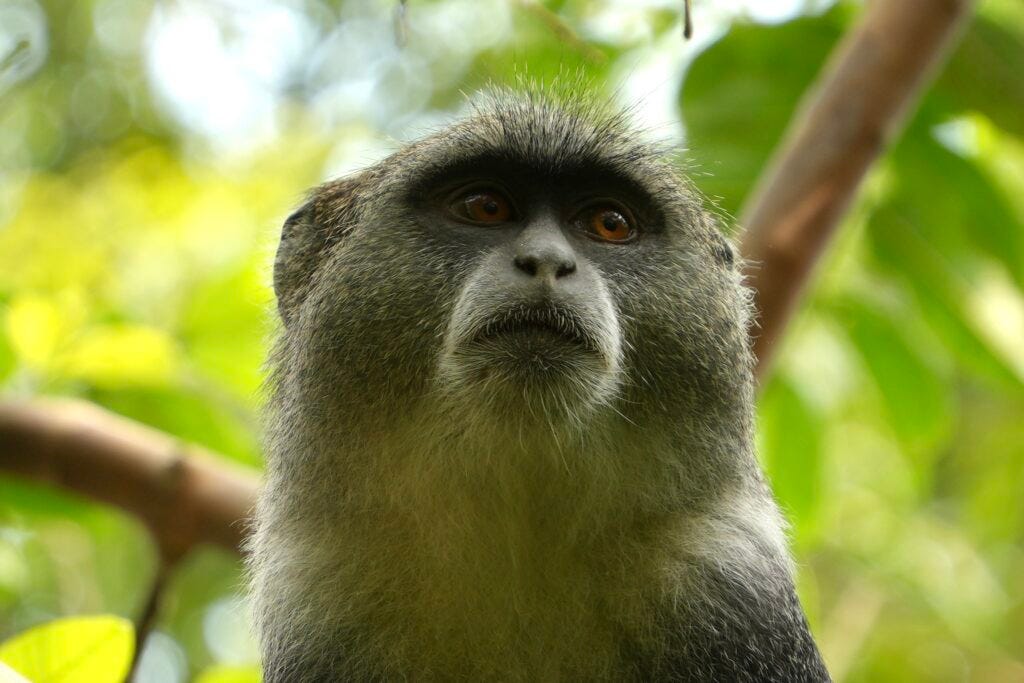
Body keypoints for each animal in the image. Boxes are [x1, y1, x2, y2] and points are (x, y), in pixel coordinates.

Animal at [247, 86, 832, 682]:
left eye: (610, 223)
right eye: (485, 207)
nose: (548, 261)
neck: (521, 529)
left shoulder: (726, 577)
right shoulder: (322, 592)